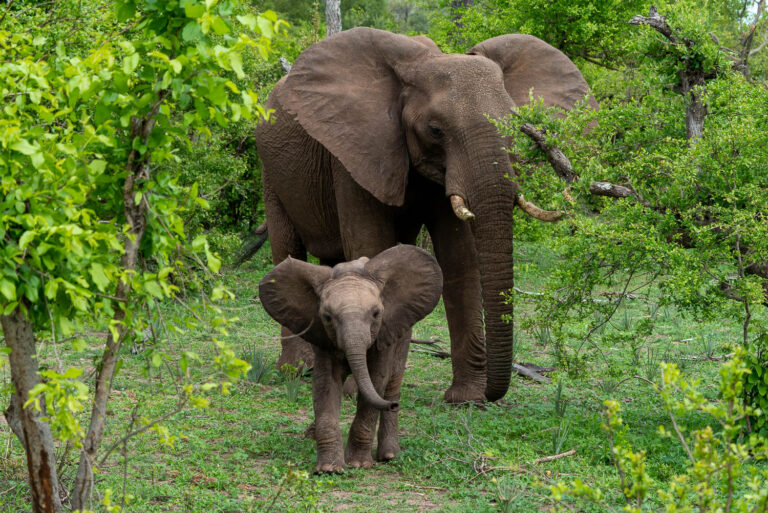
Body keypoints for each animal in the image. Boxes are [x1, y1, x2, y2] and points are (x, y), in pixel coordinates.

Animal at [255, 28, 596, 404]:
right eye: (435, 130)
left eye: (518, 127)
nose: (492, 393)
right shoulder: (354, 153)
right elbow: (371, 245)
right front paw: (359, 391)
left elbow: (459, 259)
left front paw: (466, 398)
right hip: (271, 169)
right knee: (286, 248)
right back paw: (298, 370)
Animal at [258, 244, 440, 472]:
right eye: (327, 317)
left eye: (376, 314)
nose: (393, 405)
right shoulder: (323, 338)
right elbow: (325, 384)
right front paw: (328, 469)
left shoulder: (385, 333)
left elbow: (377, 379)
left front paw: (358, 464)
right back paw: (312, 435)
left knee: (393, 382)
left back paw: (389, 455)